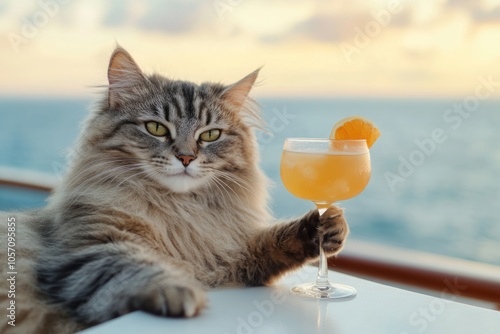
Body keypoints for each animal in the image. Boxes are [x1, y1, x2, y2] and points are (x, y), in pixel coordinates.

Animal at [0, 47, 348, 334]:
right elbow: (138, 267)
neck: (178, 211)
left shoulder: (232, 253)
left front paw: (325, 227)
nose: (186, 157)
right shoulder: (91, 247)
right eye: (156, 128)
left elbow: (272, 243)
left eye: (210, 135)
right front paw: (179, 291)